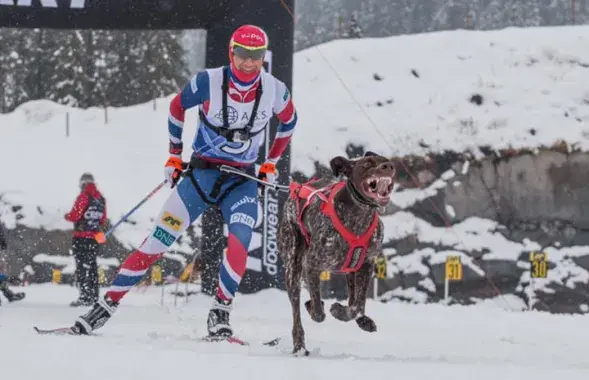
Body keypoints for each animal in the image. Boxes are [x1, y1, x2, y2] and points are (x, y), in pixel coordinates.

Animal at [276, 151, 396, 356]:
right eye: (366, 164)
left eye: (386, 161)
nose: (388, 167)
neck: (359, 215)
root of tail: (298, 189)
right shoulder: (312, 265)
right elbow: (318, 310)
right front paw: (318, 308)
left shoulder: (366, 265)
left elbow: (357, 305)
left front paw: (342, 312)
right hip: (293, 268)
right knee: (297, 313)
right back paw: (299, 346)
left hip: (350, 270)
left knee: (354, 298)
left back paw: (363, 321)